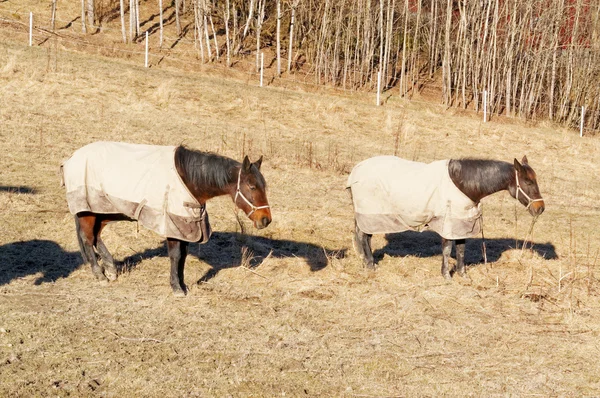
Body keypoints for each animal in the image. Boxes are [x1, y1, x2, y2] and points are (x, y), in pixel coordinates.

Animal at [61, 142, 272, 296]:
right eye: (252, 186)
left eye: (264, 186)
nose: (266, 220)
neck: (187, 179)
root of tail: (71, 159)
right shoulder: (173, 225)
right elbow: (176, 256)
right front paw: (177, 288)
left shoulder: (187, 226)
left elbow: (183, 256)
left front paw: (183, 284)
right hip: (88, 212)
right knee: (88, 239)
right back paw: (100, 275)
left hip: (103, 211)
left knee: (96, 237)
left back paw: (111, 269)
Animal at [346, 154, 544, 278]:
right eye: (527, 181)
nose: (540, 208)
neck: (463, 184)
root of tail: (356, 170)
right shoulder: (447, 223)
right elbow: (448, 249)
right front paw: (446, 275)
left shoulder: (462, 223)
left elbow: (461, 249)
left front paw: (462, 274)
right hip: (370, 213)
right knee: (364, 237)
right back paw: (370, 264)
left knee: (364, 237)